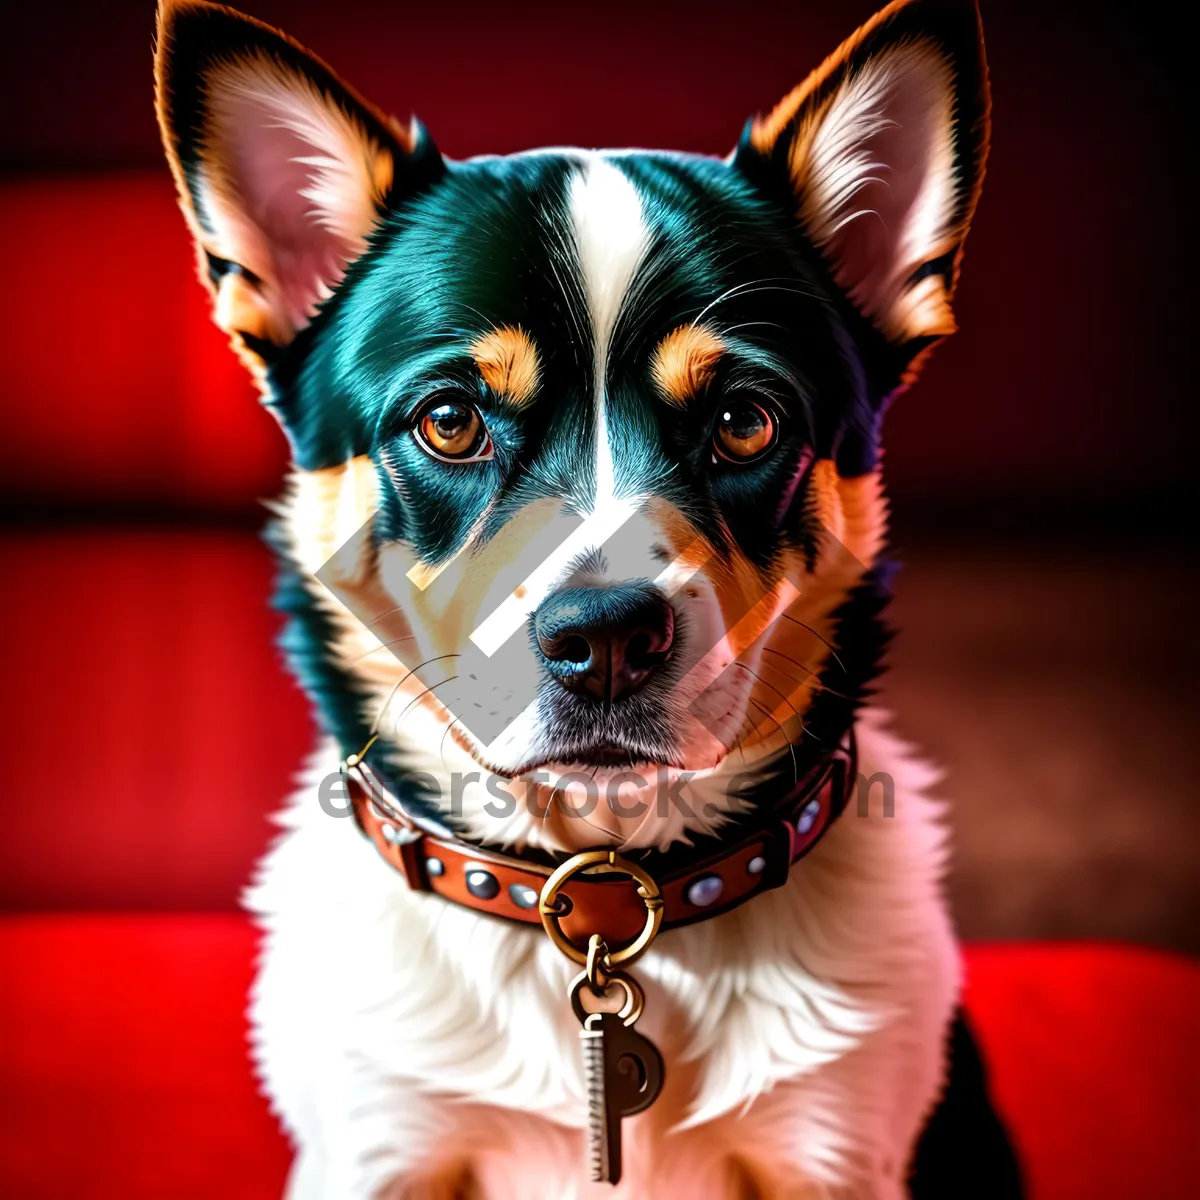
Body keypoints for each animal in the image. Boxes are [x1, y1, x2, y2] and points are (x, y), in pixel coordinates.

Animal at [152, 0, 1012, 1195]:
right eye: (450, 419)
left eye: (745, 420)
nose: (606, 638)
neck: (601, 892)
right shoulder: (378, 1150)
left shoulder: (835, 1154)